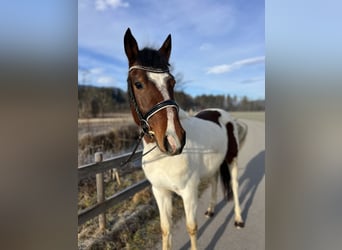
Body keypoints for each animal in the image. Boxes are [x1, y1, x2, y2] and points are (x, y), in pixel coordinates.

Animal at [124, 27, 244, 250]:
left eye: (172, 82)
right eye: (138, 84)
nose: (174, 140)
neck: (162, 157)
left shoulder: (188, 192)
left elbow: (191, 228)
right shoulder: (160, 192)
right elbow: (165, 229)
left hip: (232, 159)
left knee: (234, 185)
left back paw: (239, 219)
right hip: (214, 165)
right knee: (214, 180)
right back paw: (211, 209)